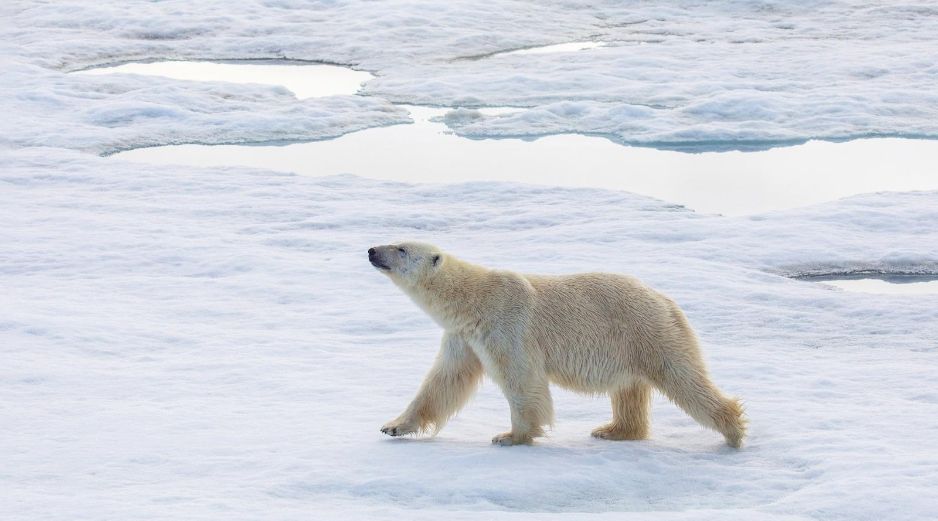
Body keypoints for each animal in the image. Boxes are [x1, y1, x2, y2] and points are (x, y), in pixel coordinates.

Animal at [368, 241, 746, 448]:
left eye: (401, 248)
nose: (372, 250)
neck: (474, 300)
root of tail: (667, 301)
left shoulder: (507, 326)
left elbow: (522, 380)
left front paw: (510, 436)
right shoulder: (463, 338)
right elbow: (443, 382)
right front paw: (393, 425)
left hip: (648, 331)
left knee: (683, 378)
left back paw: (733, 431)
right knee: (629, 390)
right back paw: (612, 430)